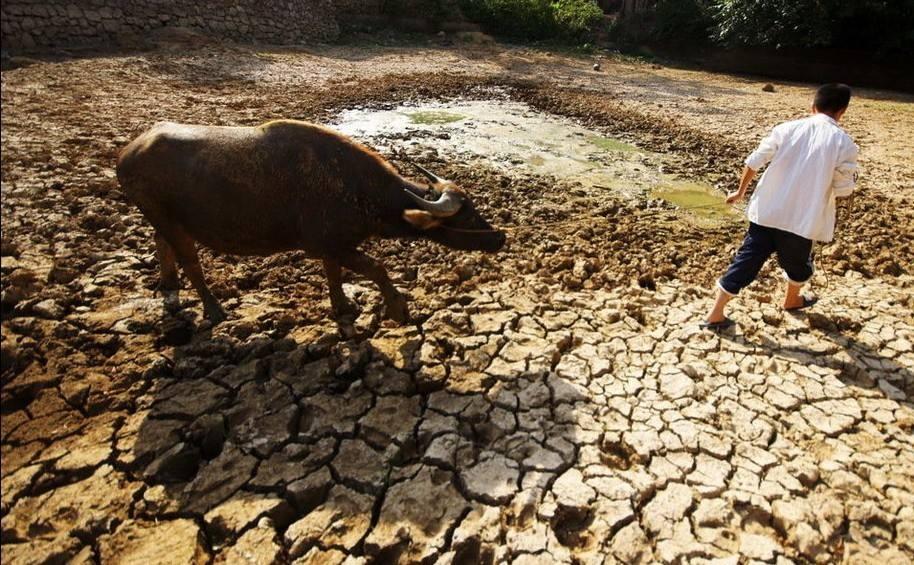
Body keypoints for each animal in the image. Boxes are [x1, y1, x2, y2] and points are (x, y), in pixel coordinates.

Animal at [116, 119, 506, 322]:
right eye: (468, 212)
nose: (500, 237)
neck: (355, 187)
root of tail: (127, 153)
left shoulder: (333, 248)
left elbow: (334, 274)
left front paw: (343, 307)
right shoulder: (328, 244)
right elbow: (377, 268)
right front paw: (398, 308)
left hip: (163, 219)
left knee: (162, 245)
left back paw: (169, 286)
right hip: (169, 220)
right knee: (191, 262)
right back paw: (214, 309)